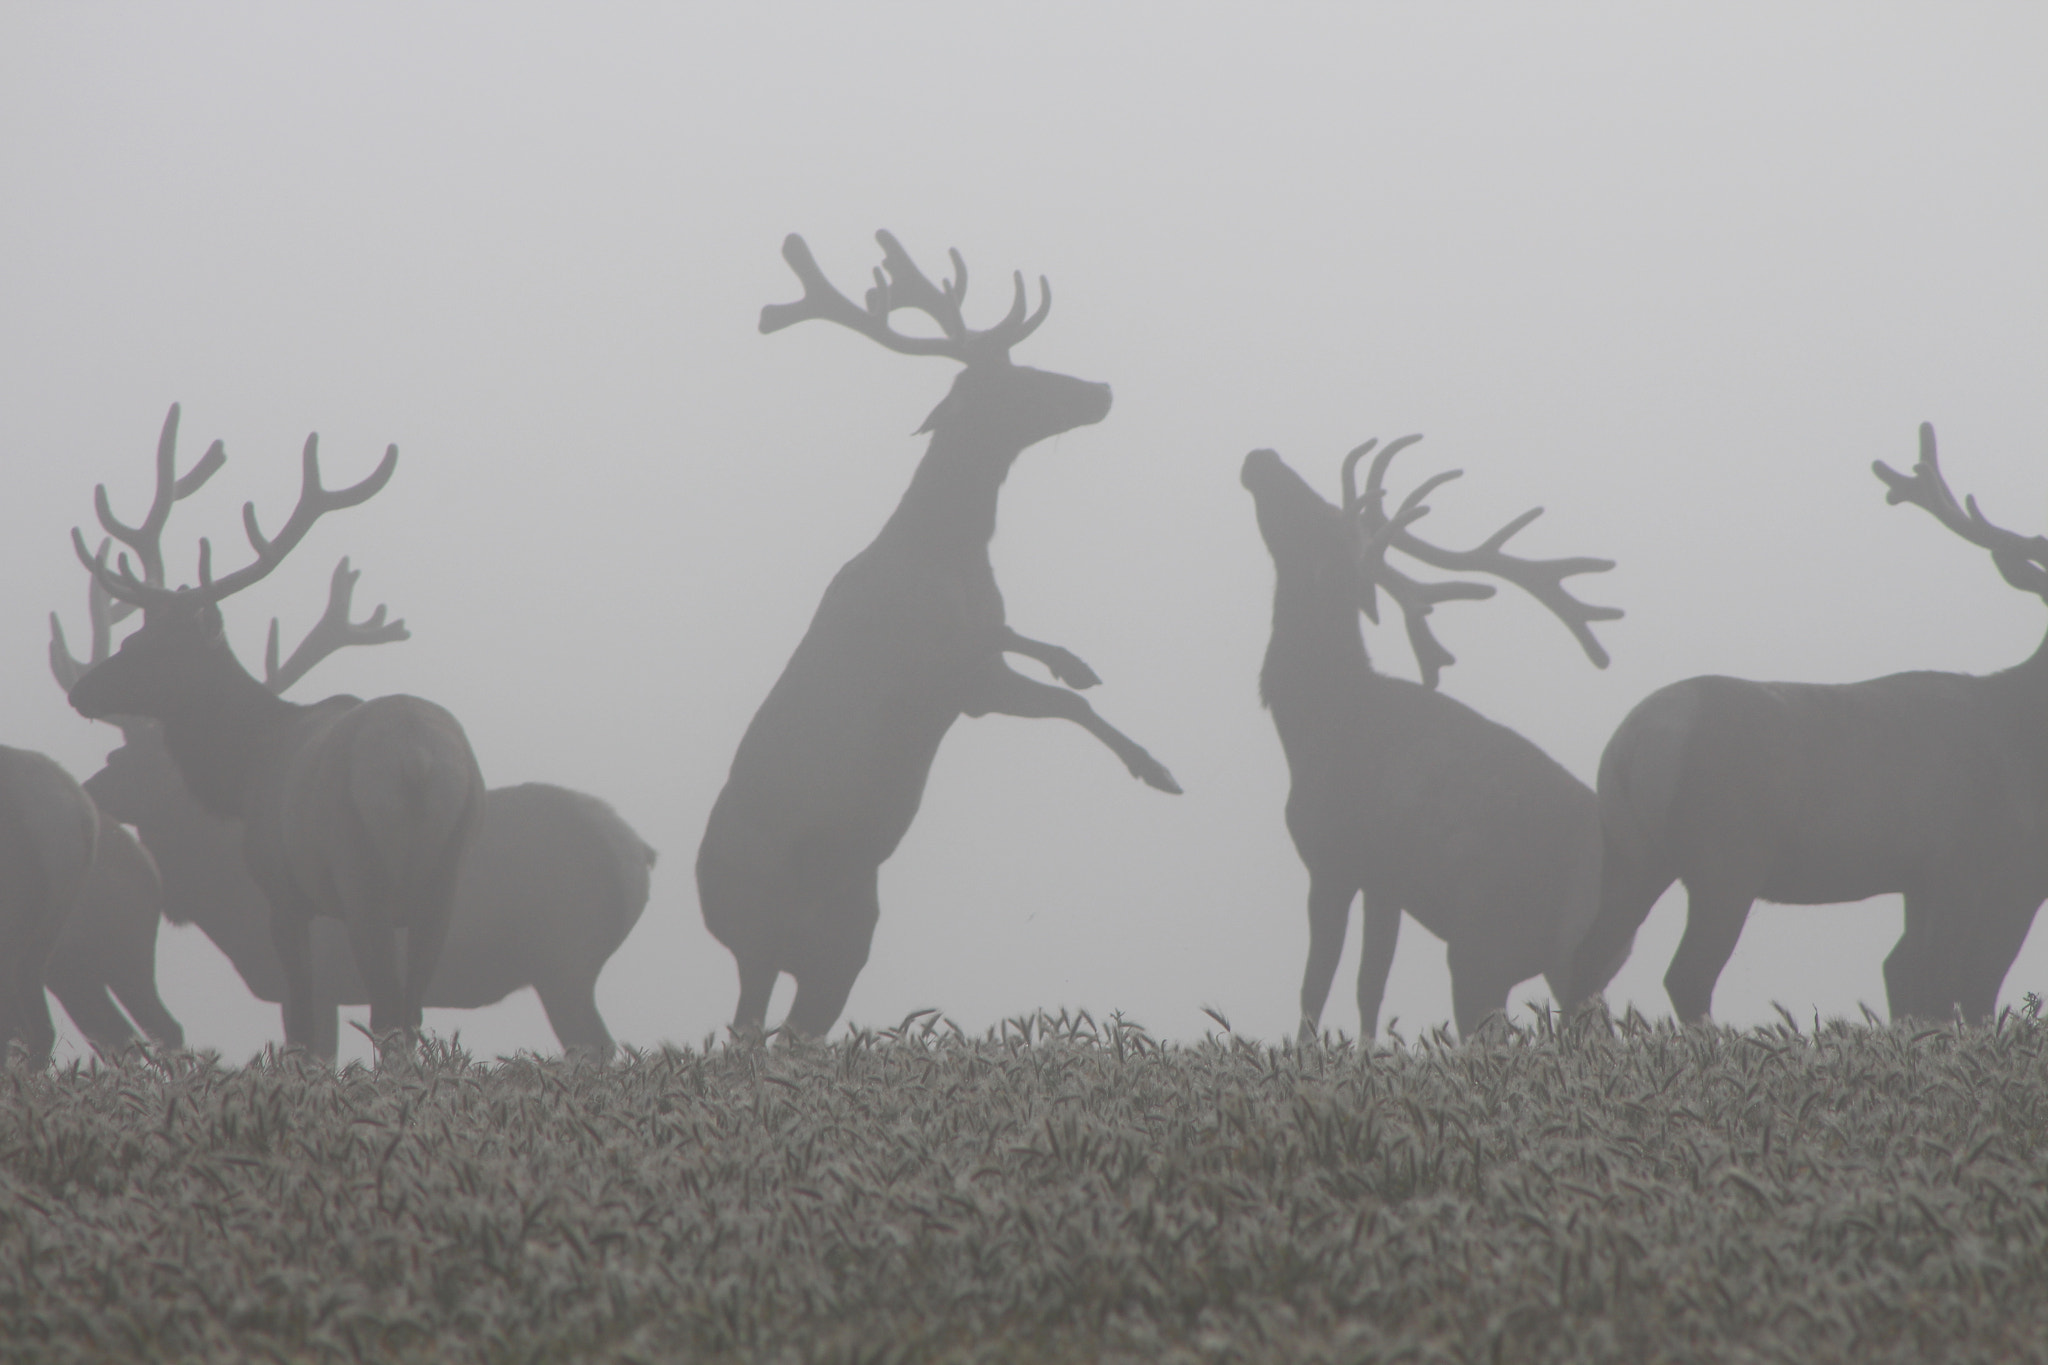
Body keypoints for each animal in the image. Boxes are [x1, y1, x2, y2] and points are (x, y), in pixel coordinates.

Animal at [67, 401, 483, 1055]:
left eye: (149, 646)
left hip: (359, 870)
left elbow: (302, 1026)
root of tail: (418, 758)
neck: (246, 770)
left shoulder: (283, 890)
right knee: (410, 1013)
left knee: (389, 1014)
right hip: (445, 877)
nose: (82, 691)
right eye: (137, 633)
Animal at [696, 232, 1187, 1035]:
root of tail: (701, 905)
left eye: (1024, 365)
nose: (1100, 389)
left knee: (791, 1031)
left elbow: (1032, 648)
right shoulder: (954, 678)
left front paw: (1080, 666)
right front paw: (1156, 770)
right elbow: (1061, 699)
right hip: (763, 932)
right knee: (745, 1030)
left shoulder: (979, 645)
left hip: (843, 944)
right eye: (1011, 382)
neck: (947, 554)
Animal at [1236, 437, 1622, 1035]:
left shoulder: (1332, 856)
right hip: (1574, 967)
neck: (1314, 722)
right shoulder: (1384, 883)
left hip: (1484, 942)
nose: (1262, 456)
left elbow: (1313, 990)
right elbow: (1369, 988)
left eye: (1313, 516)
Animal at [1564, 427, 2048, 1023]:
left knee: (1586, 962)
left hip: (1630, 851)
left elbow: (1909, 978)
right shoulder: (1980, 865)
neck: (2022, 737)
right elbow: (1963, 987)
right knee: (1686, 973)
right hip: (1726, 857)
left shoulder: (1925, 878)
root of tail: (1632, 744)